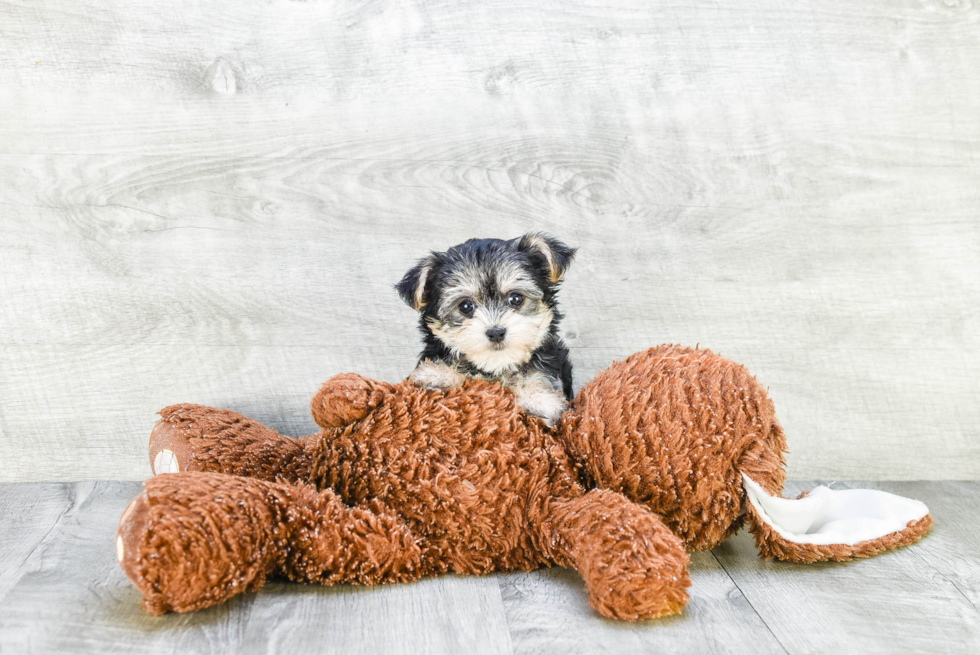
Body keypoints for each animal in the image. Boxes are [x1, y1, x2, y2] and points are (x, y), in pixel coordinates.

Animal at [396, 233, 580, 428]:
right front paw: (438, 374)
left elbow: (538, 373)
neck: (495, 368)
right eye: (465, 306)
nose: (496, 332)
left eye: (516, 298)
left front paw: (539, 397)